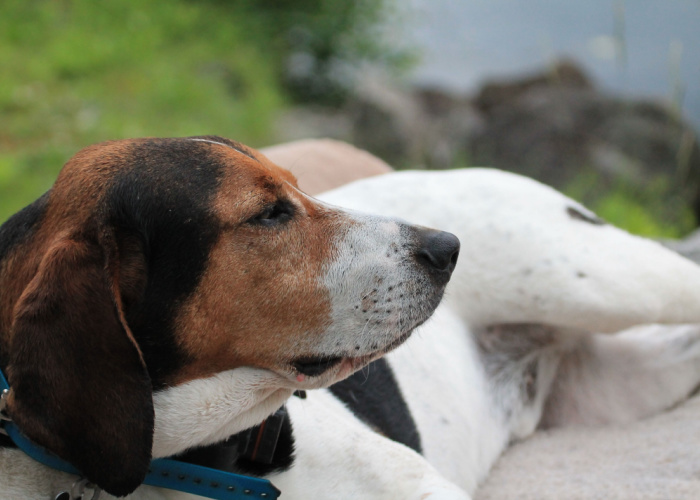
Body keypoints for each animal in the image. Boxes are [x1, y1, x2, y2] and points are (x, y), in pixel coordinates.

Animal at [1, 138, 700, 500]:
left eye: (298, 186)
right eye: (269, 214)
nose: (448, 248)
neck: (193, 463)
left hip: (606, 282)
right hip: (618, 384)